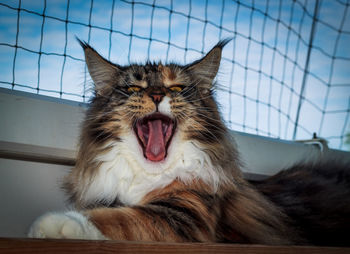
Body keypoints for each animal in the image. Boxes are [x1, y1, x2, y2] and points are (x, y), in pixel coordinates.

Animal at [28, 38, 350, 245]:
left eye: (177, 88)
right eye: (133, 88)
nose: (157, 95)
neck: (148, 176)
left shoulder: (185, 215)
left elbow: (119, 218)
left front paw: (56, 223)